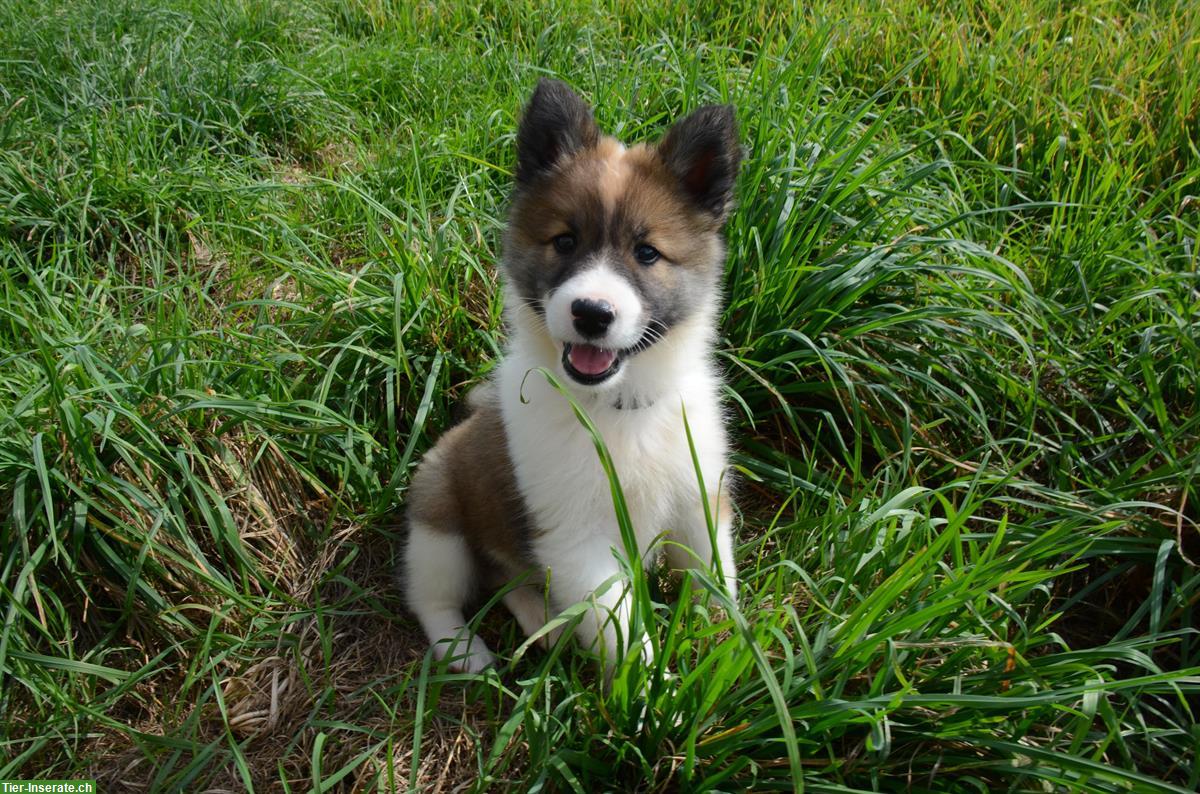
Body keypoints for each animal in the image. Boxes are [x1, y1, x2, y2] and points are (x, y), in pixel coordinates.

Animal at [405, 79, 739, 671]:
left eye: (647, 253)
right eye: (564, 241)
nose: (592, 313)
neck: (618, 407)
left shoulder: (699, 499)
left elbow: (715, 578)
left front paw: (736, 649)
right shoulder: (577, 541)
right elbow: (622, 631)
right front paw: (653, 687)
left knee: (510, 581)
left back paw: (544, 621)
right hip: (437, 517)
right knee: (432, 597)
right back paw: (465, 651)